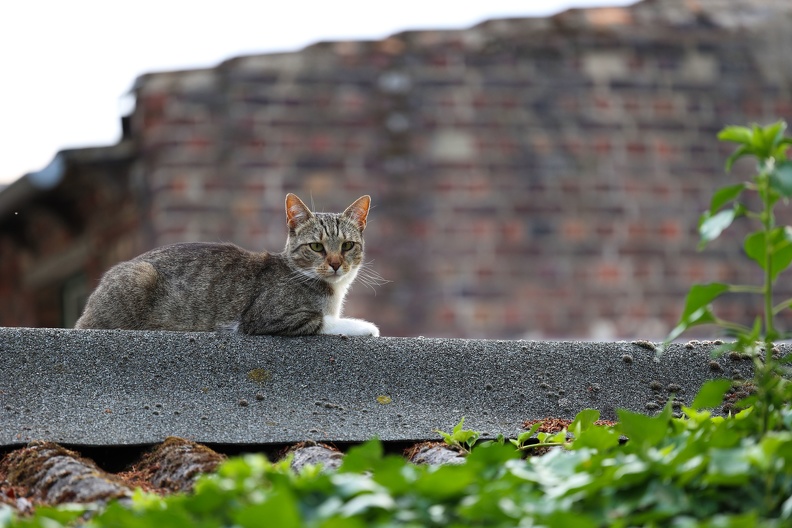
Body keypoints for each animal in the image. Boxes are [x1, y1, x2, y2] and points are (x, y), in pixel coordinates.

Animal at [75, 192, 380, 336]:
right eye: (316, 247)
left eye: (347, 246)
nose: (336, 264)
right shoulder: (265, 318)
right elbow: (324, 321)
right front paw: (366, 326)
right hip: (140, 276)